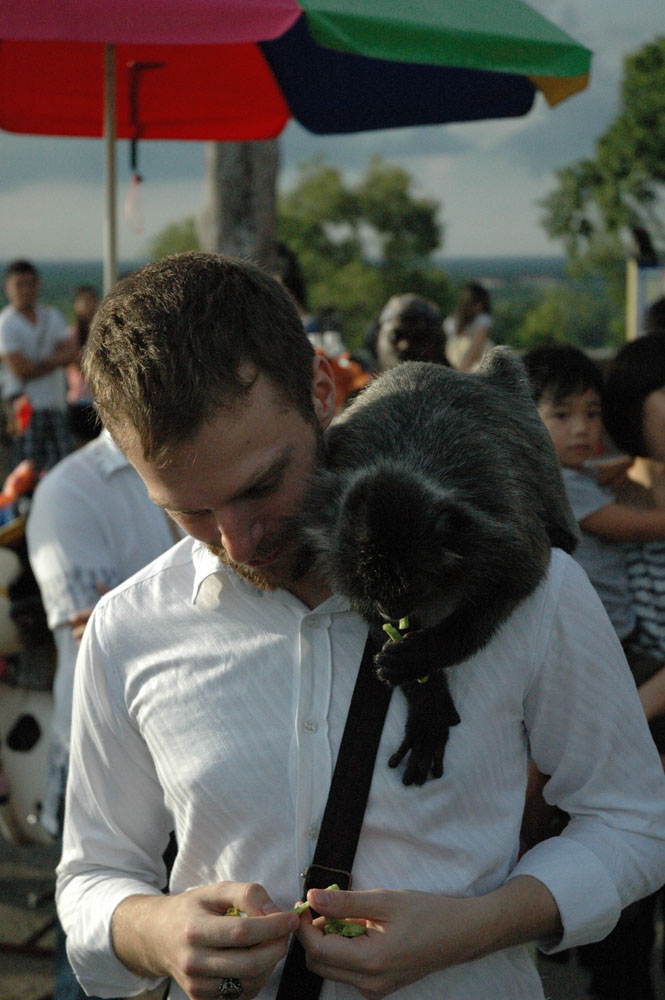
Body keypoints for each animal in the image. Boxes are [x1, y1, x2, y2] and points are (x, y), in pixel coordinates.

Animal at [298, 348, 580, 784]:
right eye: (377, 595)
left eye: (409, 588)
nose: (391, 610)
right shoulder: (335, 545)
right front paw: (427, 697)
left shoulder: (497, 535)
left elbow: (516, 580)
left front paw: (422, 654)